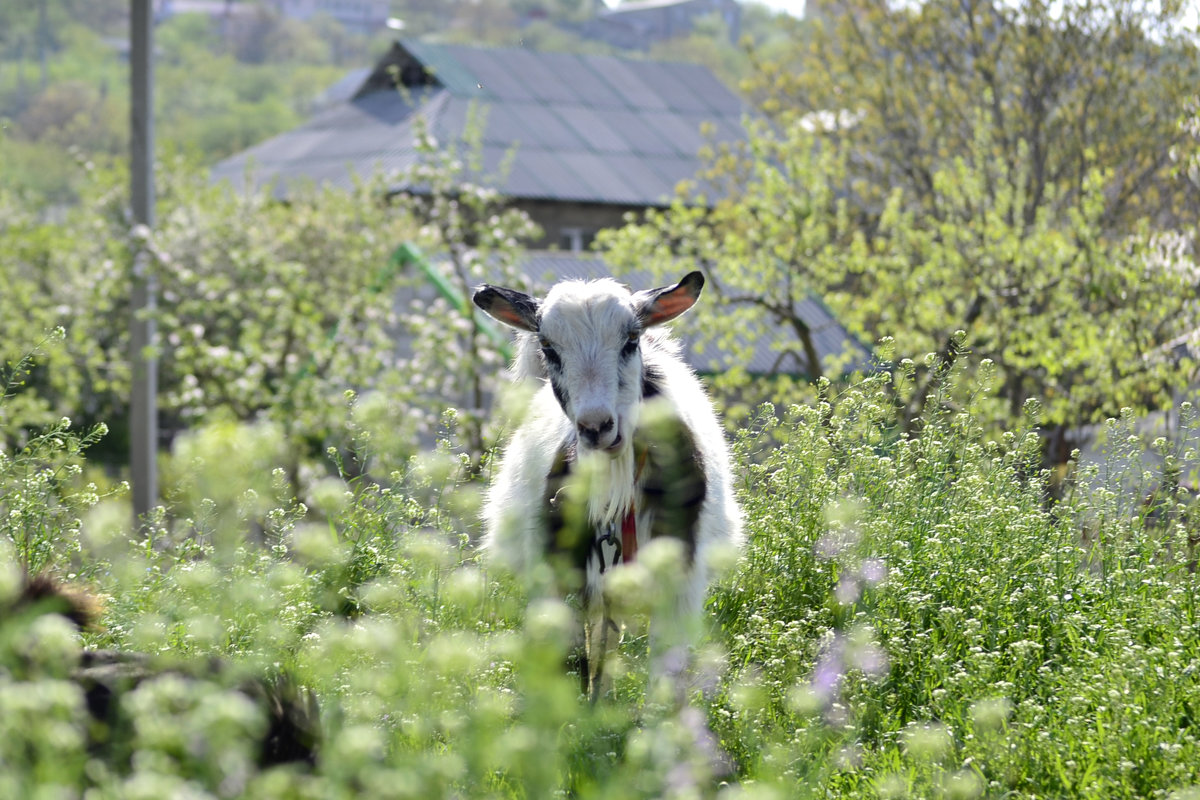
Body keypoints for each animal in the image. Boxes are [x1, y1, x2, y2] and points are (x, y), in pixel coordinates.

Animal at [470, 272, 739, 690]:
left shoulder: (680, 578)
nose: (596, 427)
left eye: (631, 339)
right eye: (548, 347)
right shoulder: (561, 572)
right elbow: (570, 662)